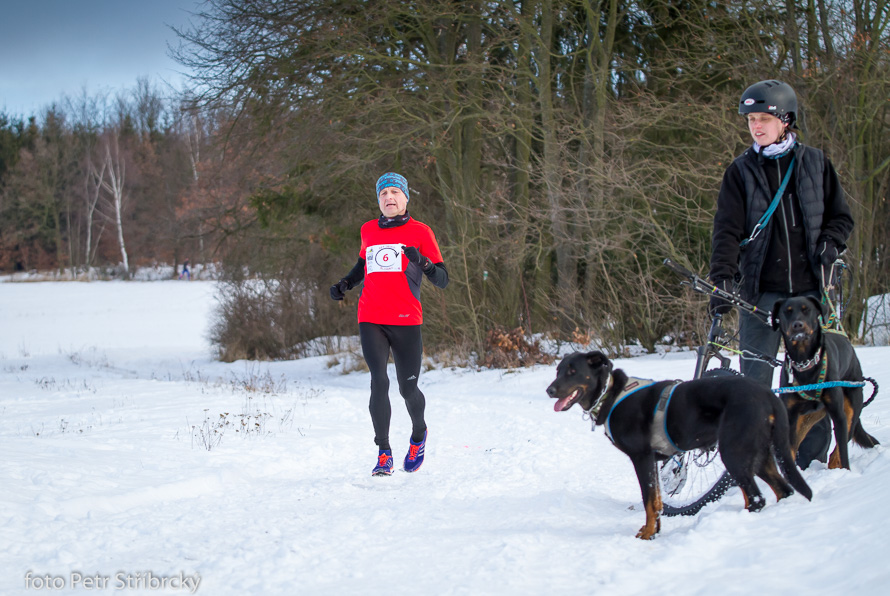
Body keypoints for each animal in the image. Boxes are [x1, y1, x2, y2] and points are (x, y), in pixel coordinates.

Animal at [544, 350, 808, 540]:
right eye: (558, 371)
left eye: (573, 371)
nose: (549, 390)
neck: (610, 394)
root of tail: (768, 394)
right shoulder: (652, 460)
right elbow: (658, 501)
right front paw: (655, 530)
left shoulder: (641, 457)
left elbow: (648, 500)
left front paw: (648, 535)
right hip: (759, 455)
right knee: (783, 490)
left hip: (733, 453)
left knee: (756, 498)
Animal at [772, 294, 876, 470]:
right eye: (787, 311)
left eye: (807, 310)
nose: (797, 325)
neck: (805, 362)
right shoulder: (791, 416)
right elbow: (790, 453)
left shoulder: (839, 415)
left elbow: (842, 453)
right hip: (807, 418)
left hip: (851, 412)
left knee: (836, 454)